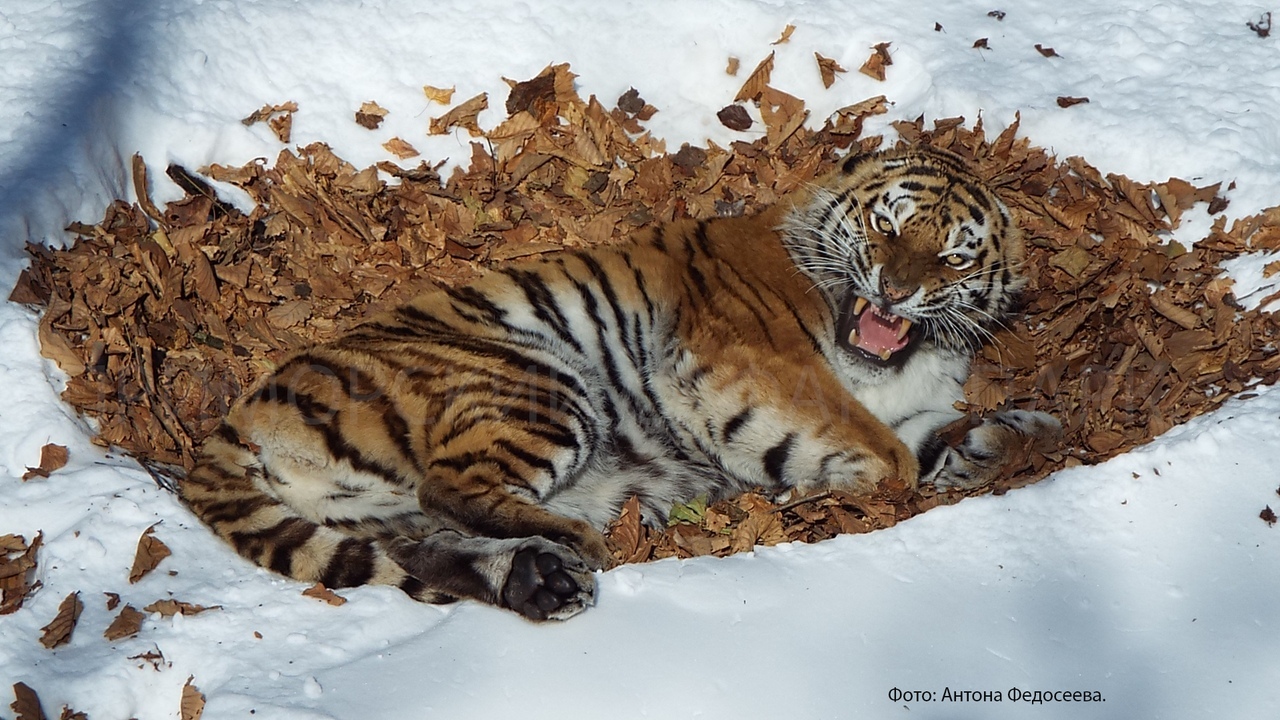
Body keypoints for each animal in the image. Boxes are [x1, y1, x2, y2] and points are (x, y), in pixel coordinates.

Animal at [180, 144, 1059, 617]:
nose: (897, 288)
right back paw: (578, 543)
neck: (895, 353)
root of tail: (239, 416)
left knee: (427, 543)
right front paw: (815, 497)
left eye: (954, 255)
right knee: (450, 487)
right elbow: (889, 460)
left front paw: (1021, 436)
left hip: (386, 512)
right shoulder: (756, 363)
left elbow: (936, 437)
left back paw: (539, 580)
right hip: (538, 379)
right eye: (886, 225)